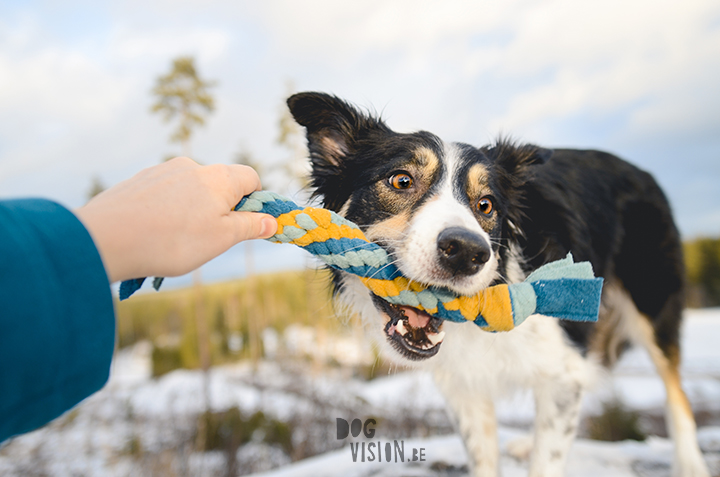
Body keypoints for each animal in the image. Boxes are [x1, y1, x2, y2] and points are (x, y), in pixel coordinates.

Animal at [286, 91, 708, 474]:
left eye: (486, 204)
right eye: (401, 180)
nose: (466, 251)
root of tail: (640, 169)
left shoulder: (564, 369)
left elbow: (549, 459)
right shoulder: (464, 383)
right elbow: (484, 454)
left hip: (652, 303)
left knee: (676, 391)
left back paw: (690, 463)